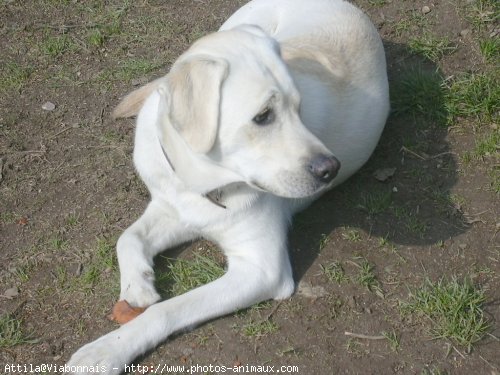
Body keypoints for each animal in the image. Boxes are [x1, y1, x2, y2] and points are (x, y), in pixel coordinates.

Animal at [66, 0, 388, 372]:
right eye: (263, 116)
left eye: (299, 107)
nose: (330, 169)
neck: (198, 181)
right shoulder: (172, 208)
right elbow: (127, 237)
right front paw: (138, 285)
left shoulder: (262, 269)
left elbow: (168, 309)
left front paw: (106, 351)